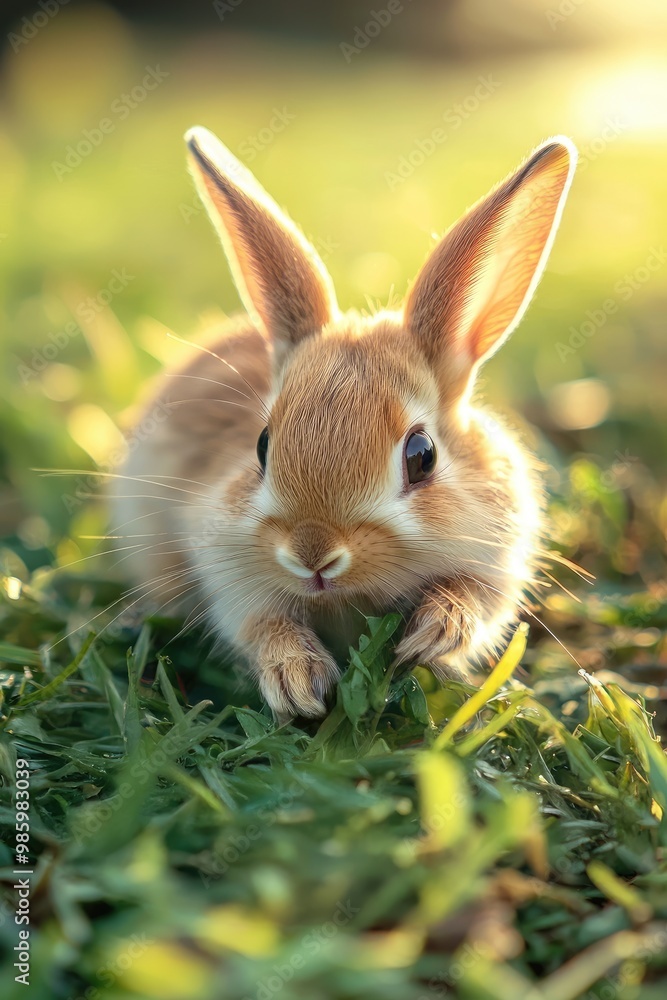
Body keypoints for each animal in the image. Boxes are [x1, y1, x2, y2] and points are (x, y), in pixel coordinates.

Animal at [111, 127, 576, 720]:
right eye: (261, 446)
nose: (313, 555)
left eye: (422, 456)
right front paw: (298, 682)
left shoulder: (496, 556)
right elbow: (261, 623)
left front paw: (434, 632)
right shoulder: (228, 567)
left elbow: (475, 599)